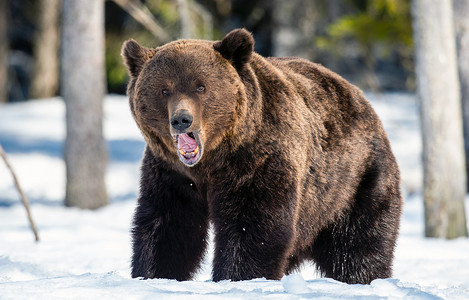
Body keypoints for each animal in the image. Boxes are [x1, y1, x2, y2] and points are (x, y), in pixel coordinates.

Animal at [121, 27, 402, 284]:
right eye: (164, 90)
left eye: (200, 86)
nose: (181, 119)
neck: (211, 162)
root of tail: (359, 96)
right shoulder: (170, 173)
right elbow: (168, 225)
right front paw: (154, 274)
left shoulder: (258, 161)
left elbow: (253, 225)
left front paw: (237, 276)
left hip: (353, 182)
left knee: (357, 245)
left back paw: (363, 277)